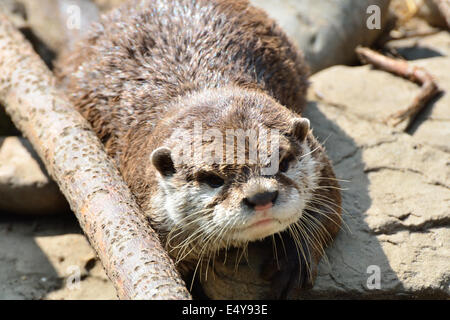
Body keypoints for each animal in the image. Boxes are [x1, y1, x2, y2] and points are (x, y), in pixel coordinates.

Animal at [56, 0, 342, 300]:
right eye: (213, 179)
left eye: (283, 162)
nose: (261, 196)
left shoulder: (317, 157)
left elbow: (329, 205)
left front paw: (294, 262)